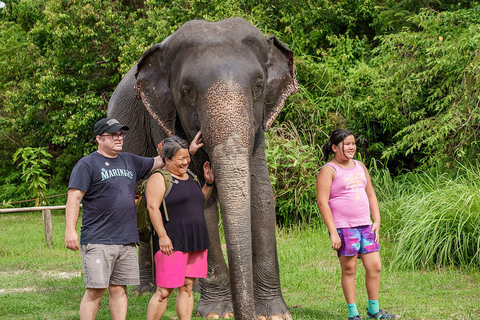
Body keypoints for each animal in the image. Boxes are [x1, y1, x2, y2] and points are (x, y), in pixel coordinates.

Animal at [107, 18, 298, 320]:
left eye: (258, 85)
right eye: (187, 91)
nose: (246, 314)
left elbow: (261, 193)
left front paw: (274, 314)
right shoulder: (162, 120)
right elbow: (198, 198)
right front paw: (217, 313)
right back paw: (145, 290)